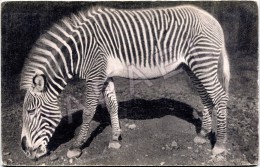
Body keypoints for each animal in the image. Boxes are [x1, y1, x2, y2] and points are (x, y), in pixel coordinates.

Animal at [20, 4, 230, 160]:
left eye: (31, 111)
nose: (25, 151)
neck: (78, 52)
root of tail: (213, 20)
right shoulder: (104, 76)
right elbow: (112, 106)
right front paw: (115, 139)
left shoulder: (95, 76)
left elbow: (88, 111)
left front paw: (76, 147)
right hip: (192, 67)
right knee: (206, 97)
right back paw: (203, 134)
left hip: (203, 64)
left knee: (220, 97)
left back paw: (220, 145)